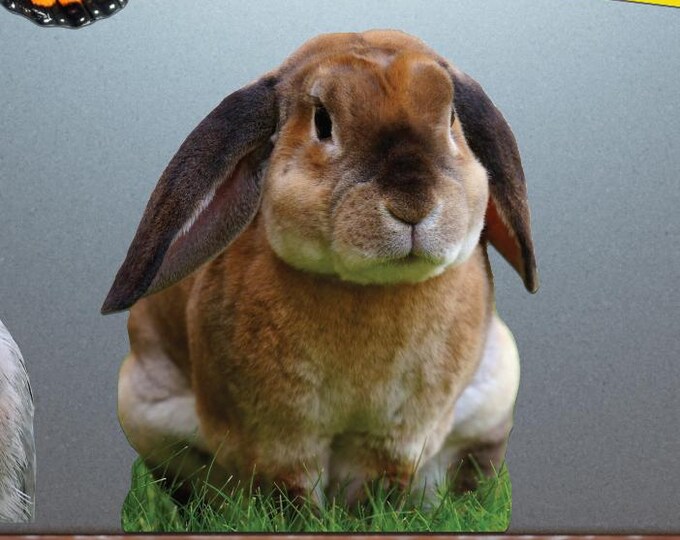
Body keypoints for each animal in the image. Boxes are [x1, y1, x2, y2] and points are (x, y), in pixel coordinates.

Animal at [102, 29, 538, 505]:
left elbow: (375, 493)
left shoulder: (395, 440)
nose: (413, 205)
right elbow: (291, 497)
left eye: (452, 117)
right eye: (323, 122)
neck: (368, 289)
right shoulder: (277, 440)